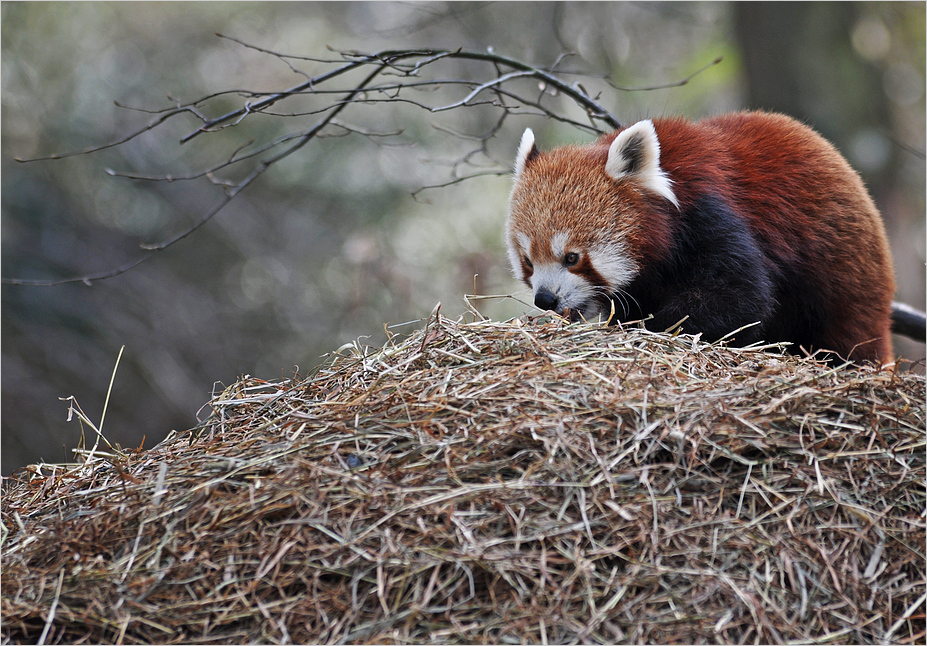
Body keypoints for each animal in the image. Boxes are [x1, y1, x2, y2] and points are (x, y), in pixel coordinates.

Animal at [508, 111, 900, 364]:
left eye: (572, 257)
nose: (545, 299)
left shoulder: (710, 216)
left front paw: (651, 327)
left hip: (844, 282)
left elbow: (740, 298)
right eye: (528, 261)